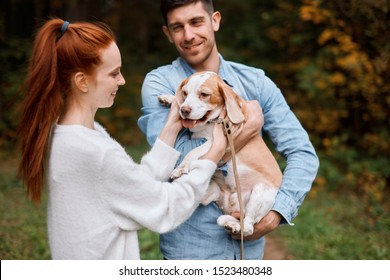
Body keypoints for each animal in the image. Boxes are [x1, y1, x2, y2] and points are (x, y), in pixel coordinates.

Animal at [158, 70, 284, 236]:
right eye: (185, 93)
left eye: (204, 94)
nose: (185, 111)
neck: (209, 122)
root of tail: (231, 206)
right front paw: (170, 98)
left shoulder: (214, 141)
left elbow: (193, 151)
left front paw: (181, 167)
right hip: (209, 190)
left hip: (260, 192)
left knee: (249, 227)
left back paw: (236, 227)